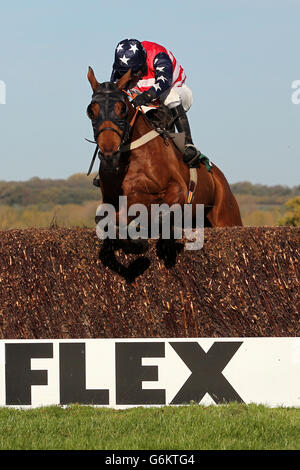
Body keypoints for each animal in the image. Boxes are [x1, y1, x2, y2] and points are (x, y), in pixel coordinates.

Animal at [86, 67, 241, 276]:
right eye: (90, 111)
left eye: (122, 108)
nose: (109, 154)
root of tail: (218, 176)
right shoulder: (112, 201)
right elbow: (105, 219)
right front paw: (134, 242)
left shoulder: (178, 190)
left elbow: (159, 213)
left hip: (226, 217)